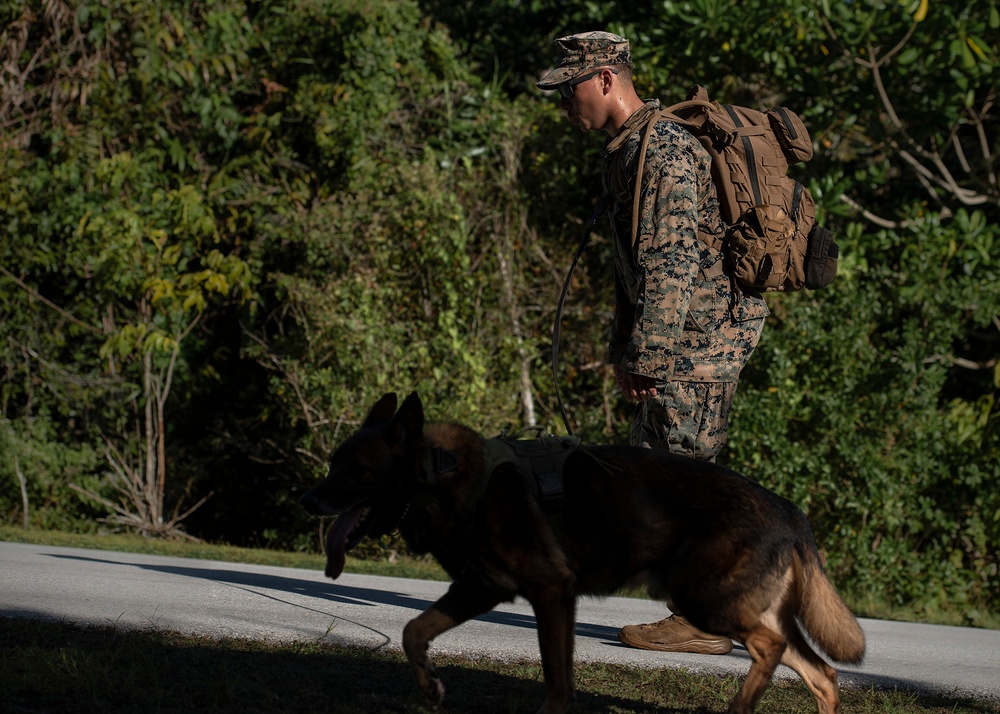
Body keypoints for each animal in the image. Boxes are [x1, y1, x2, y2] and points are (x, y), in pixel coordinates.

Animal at [300, 392, 864, 712]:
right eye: (331, 464)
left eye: (355, 470)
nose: (308, 499)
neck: (444, 475)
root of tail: (788, 509)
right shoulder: (480, 588)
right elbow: (413, 630)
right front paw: (430, 687)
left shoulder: (550, 592)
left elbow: (557, 682)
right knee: (823, 675)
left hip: (703, 597)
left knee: (771, 648)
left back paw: (740, 708)